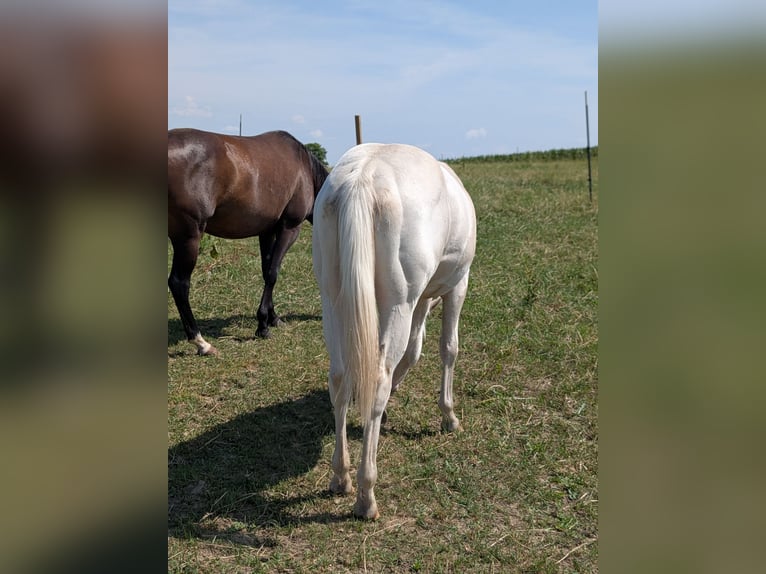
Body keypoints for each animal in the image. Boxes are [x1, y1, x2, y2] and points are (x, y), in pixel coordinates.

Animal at [168, 128, 328, 355]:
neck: (304, 168)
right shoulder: (289, 228)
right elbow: (273, 273)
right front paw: (262, 326)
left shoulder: (267, 231)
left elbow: (266, 270)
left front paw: (272, 318)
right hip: (188, 238)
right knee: (179, 283)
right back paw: (201, 343)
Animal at [312, 143, 477, 519]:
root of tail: (362, 179)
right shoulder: (456, 286)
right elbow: (448, 348)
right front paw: (449, 415)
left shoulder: (419, 302)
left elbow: (413, 351)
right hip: (399, 304)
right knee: (377, 378)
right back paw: (366, 495)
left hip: (333, 299)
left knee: (339, 378)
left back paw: (341, 476)